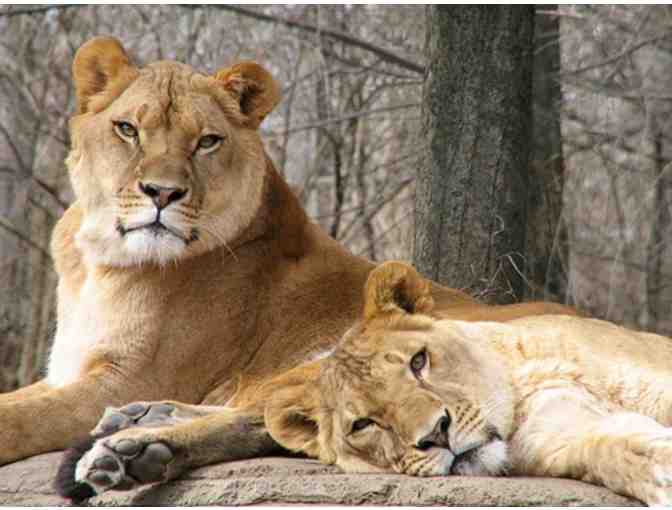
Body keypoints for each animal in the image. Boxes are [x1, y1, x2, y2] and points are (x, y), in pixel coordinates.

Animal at [0, 35, 574, 494]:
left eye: (207, 141)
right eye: (127, 130)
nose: (162, 193)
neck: (101, 262)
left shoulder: (128, 375)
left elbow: (20, 417)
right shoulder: (71, 371)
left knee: (281, 423)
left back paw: (135, 450)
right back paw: (140, 420)